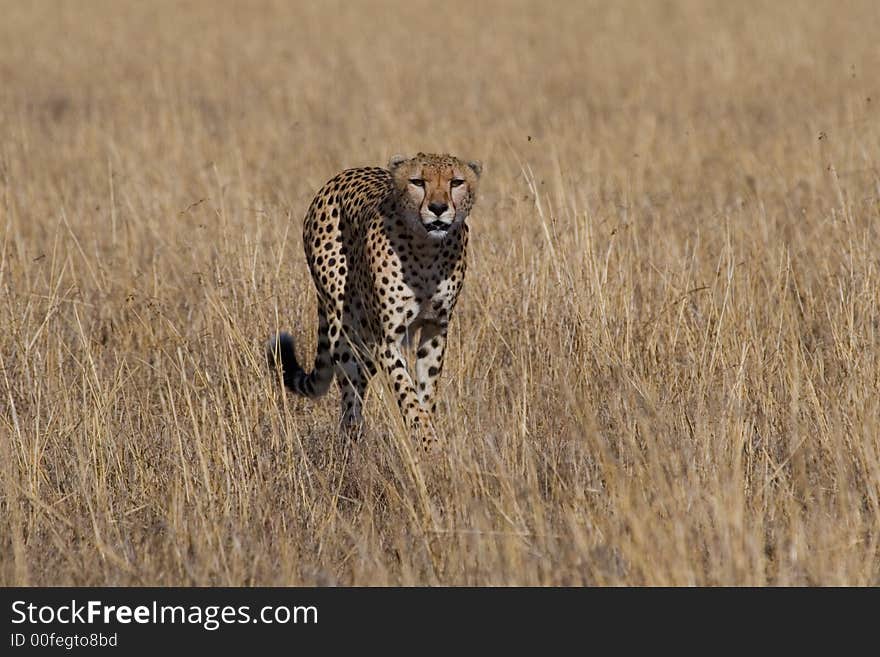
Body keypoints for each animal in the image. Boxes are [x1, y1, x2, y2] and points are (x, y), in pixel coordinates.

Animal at [266, 152, 482, 452]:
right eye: (418, 182)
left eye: (456, 182)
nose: (438, 208)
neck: (426, 249)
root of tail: (343, 175)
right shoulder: (386, 339)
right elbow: (406, 392)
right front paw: (426, 441)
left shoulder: (436, 328)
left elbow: (426, 390)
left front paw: (429, 442)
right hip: (346, 331)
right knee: (350, 397)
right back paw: (352, 444)